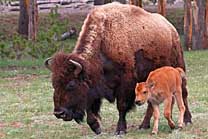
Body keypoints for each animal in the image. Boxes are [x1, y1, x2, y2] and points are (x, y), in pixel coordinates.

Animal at [45, 2, 192, 135]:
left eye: (71, 84)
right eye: (54, 84)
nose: (59, 113)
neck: (104, 40)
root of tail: (171, 29)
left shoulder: (125, 83)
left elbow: (121, 106)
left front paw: (120, 129)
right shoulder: (94, 88)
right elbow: (90, 108)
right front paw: (96, 128)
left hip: (179, 67)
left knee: (183, 94)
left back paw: (187, 120)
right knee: (151, 102)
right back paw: (144, 125)